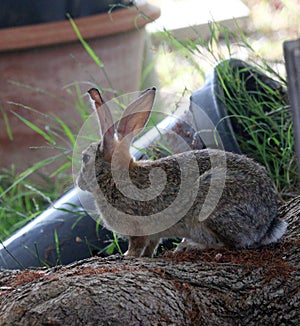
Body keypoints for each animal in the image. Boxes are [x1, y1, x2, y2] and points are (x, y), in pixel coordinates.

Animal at [76, 86, 288, 258]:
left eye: (84, 158)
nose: (78, 183)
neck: (114, 176)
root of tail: (267, 223)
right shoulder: (153, 235)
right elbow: (151, 245)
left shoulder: (137, 228)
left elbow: (137, 245)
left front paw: (127, 256)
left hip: (210, 204)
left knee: (230, 244)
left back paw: (191, 246)